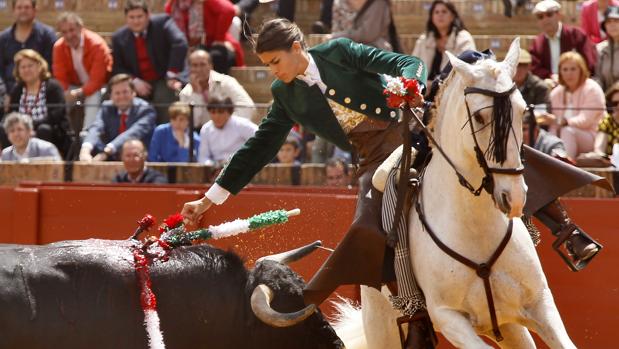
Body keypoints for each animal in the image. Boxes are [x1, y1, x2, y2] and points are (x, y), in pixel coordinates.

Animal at [336, 39, 580, 348]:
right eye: (479, 116)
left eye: (523, 110)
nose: (513, 196)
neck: (477, 228)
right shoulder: (448, 317)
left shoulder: (539, 303)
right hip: (382, 325)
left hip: (509, 326)